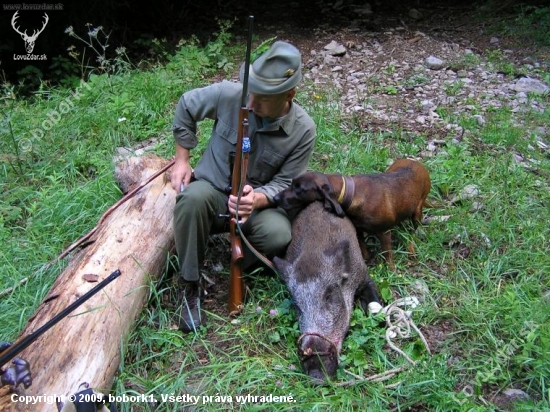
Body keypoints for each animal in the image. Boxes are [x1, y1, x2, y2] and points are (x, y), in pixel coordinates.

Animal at [274, 159, 434, 270]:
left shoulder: (384, 232)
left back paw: (411, 248)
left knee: (413, 232)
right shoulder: (358, 229)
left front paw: (391, 271)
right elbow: (363, 248)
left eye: (300, 190)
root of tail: (419, 164)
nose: (275, 198)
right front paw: (368, 259)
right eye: (292, 183)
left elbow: (387, 255)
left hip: (417, 212)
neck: (351, 193)